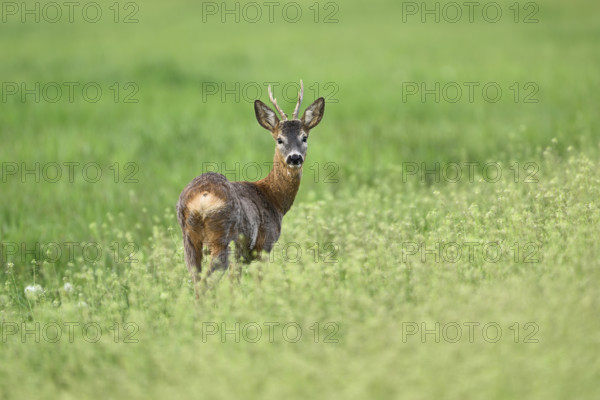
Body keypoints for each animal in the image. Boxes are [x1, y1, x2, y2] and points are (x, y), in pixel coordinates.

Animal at [176, 79, 326, 290]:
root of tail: (202, 197)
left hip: (189, 239)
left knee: (197, 280)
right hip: (223, 236)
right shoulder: (264, 245)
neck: (273, 198)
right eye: (279, 139)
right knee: (207, 281)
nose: (295, 158)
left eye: (304, 137)